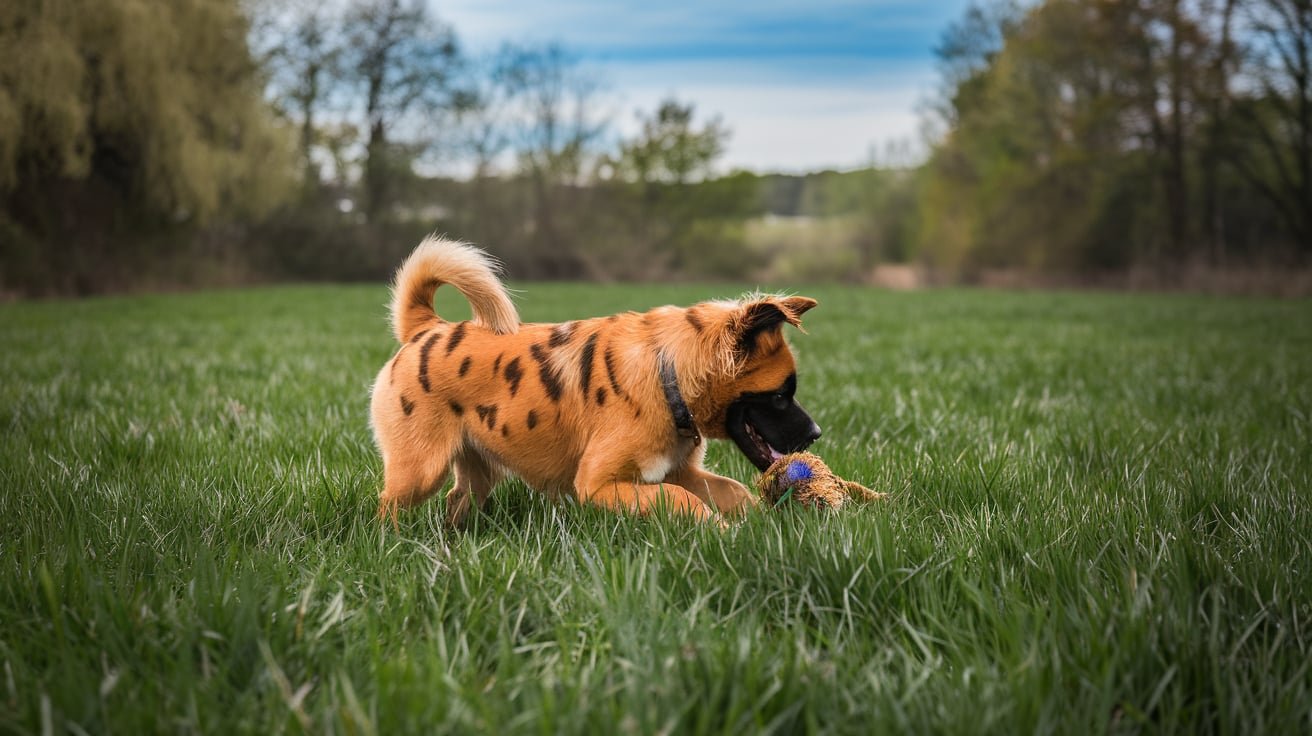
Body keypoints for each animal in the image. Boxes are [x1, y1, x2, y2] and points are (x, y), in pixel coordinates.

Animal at [369, 238, 818, 524]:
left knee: (457, 500)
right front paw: (721, 531)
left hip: (478, 468)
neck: (667, 373)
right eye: (781, 396)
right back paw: (394, 543)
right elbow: (679, 498)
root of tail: (427, 328)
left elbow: (730, 490)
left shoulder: (679, 471)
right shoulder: (597, 485)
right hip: (419, 471)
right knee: (388, 505)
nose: (816, 434)